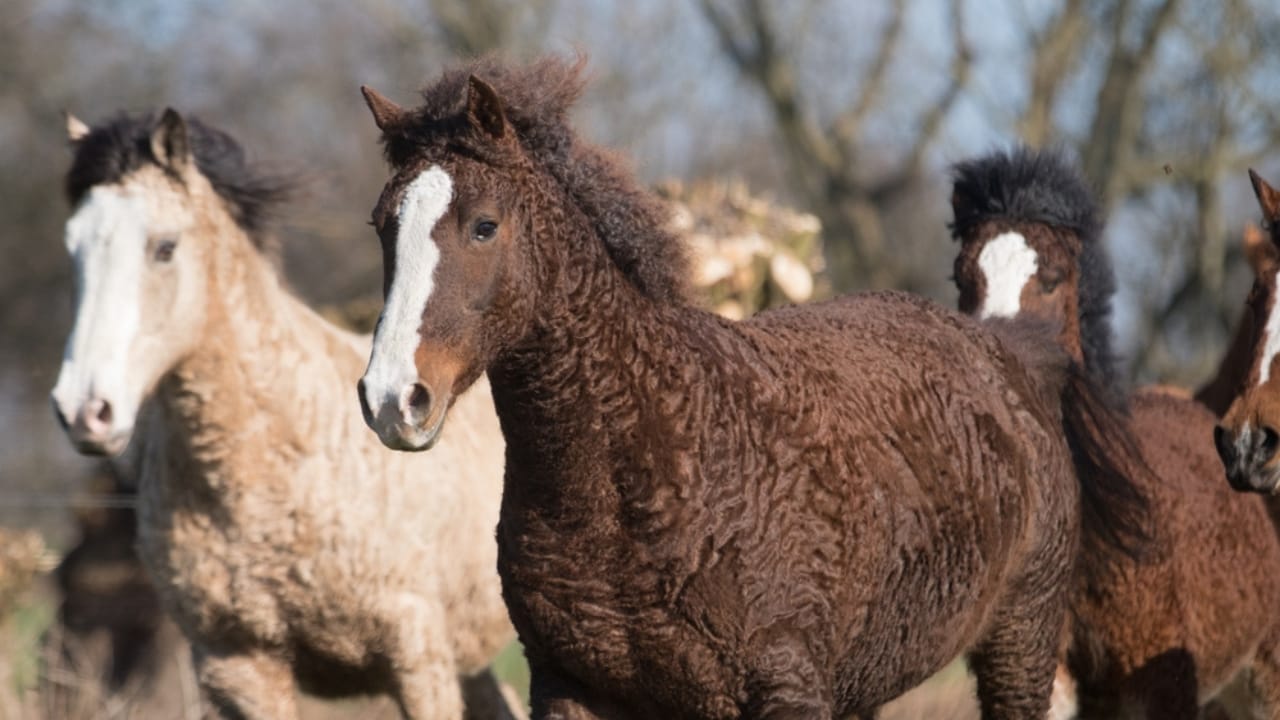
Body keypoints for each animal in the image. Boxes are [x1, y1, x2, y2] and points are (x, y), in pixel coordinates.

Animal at [354, 55, 1147, 720]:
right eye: (382, 224)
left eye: (484, 226)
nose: (393, 398)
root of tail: (1012, 356)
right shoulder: (568, 685)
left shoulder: (784, 690)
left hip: (1021, 646)